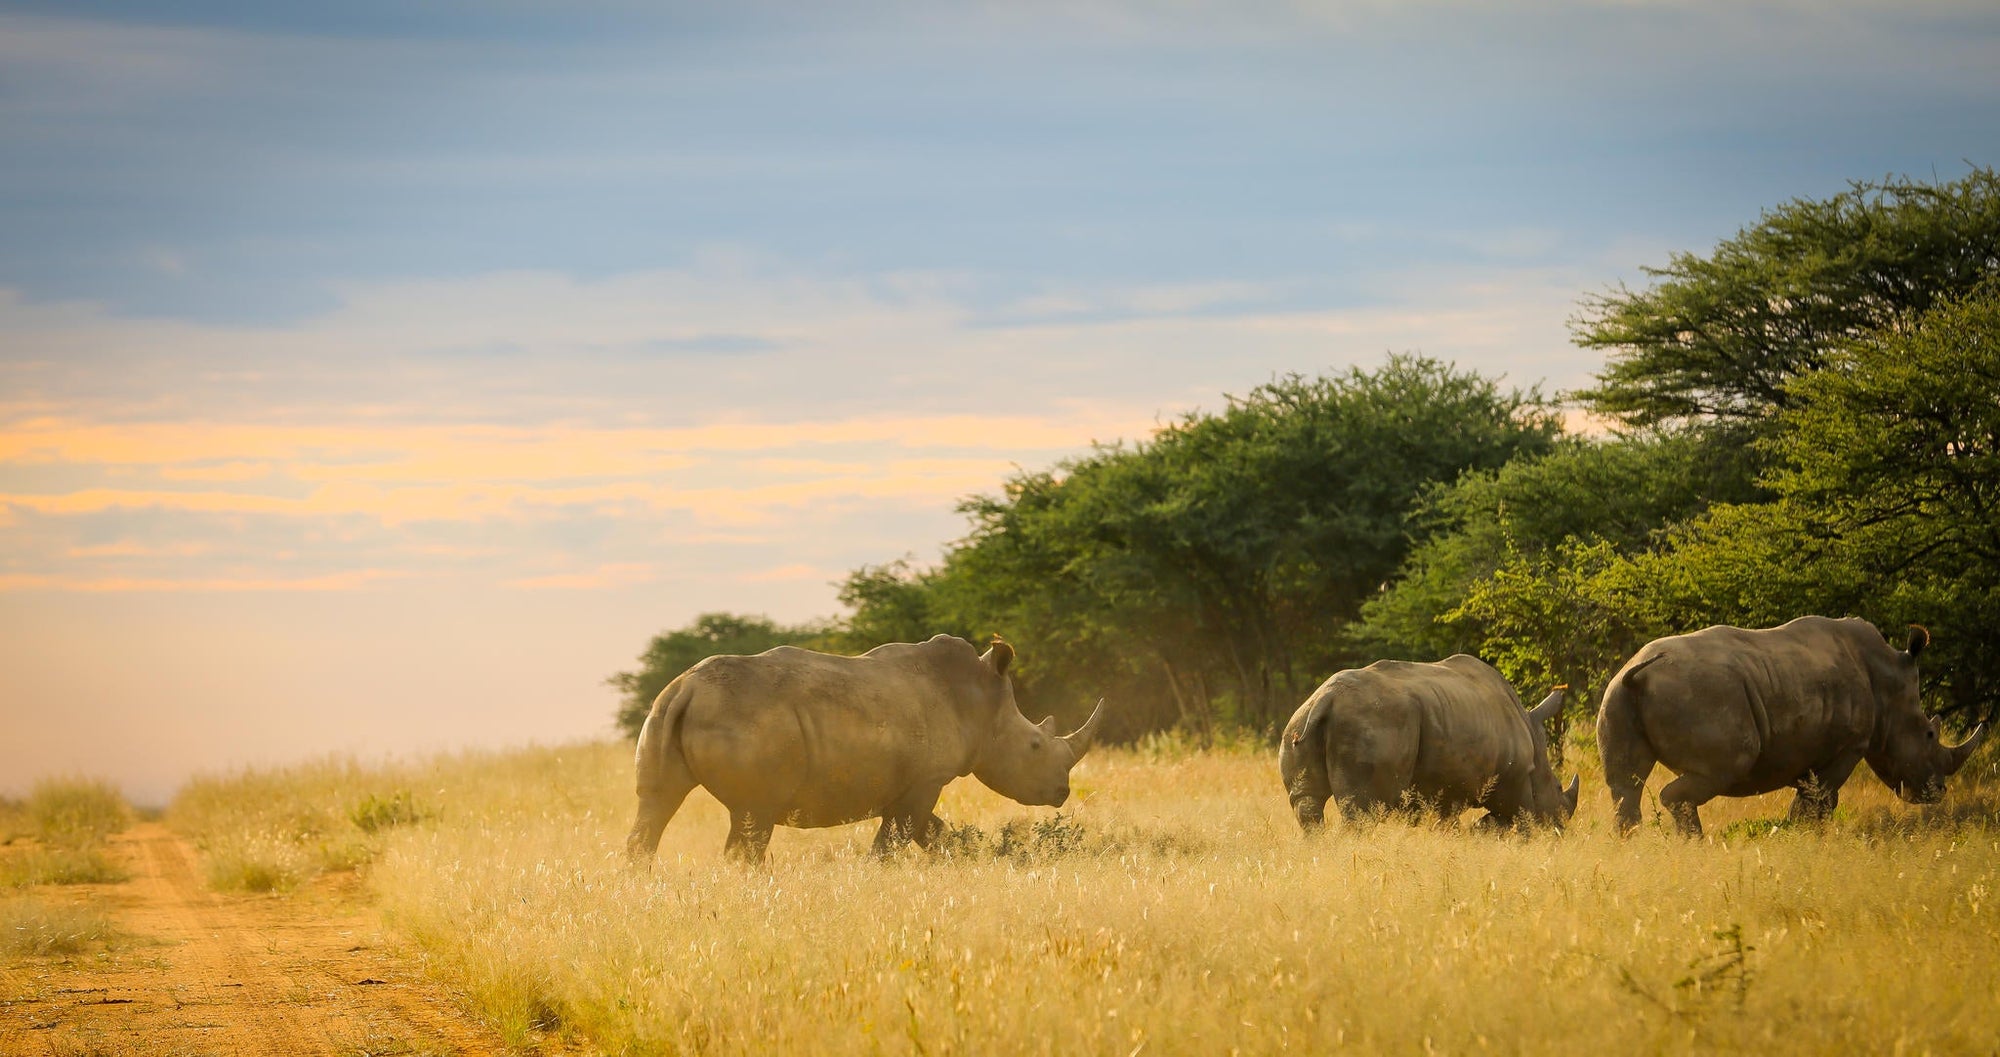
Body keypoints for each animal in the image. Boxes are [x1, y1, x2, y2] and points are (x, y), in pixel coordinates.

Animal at [624, 634, 1105, 864]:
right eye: (1035, 745)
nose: (1062, 793)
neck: (981, 704)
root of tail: (686, 687)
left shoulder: (910, 784)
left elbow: (932, 833)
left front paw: (965, 859)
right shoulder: (926, 779)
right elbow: (896, 839)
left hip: (664, 711)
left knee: (656, 804)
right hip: (747, 720)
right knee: (753, 815)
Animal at [1279, 655, 1578, 832]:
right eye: (1558, 786)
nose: (1560, 829)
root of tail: (1325, 698)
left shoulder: (1445, 786)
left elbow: (1448, 821)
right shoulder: (1513, 781)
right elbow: (1519, 818)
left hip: (1299, 719)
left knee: (1307, 801)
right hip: (1374, 725)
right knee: (1361, 811)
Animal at [1596, 616, 1990, 836]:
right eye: (1929, 734)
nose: (1937, 793)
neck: (1887, 678)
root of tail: (1641, 674)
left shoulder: (1805, 745)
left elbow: (1809, 796)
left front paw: (1790, 833)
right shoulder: (1849, 746)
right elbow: (1823, 799)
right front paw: (1805, 836)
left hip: (1616, 693)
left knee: (1624, 785)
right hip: (1701, 693)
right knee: (1724, 765)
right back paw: (1693, 844)